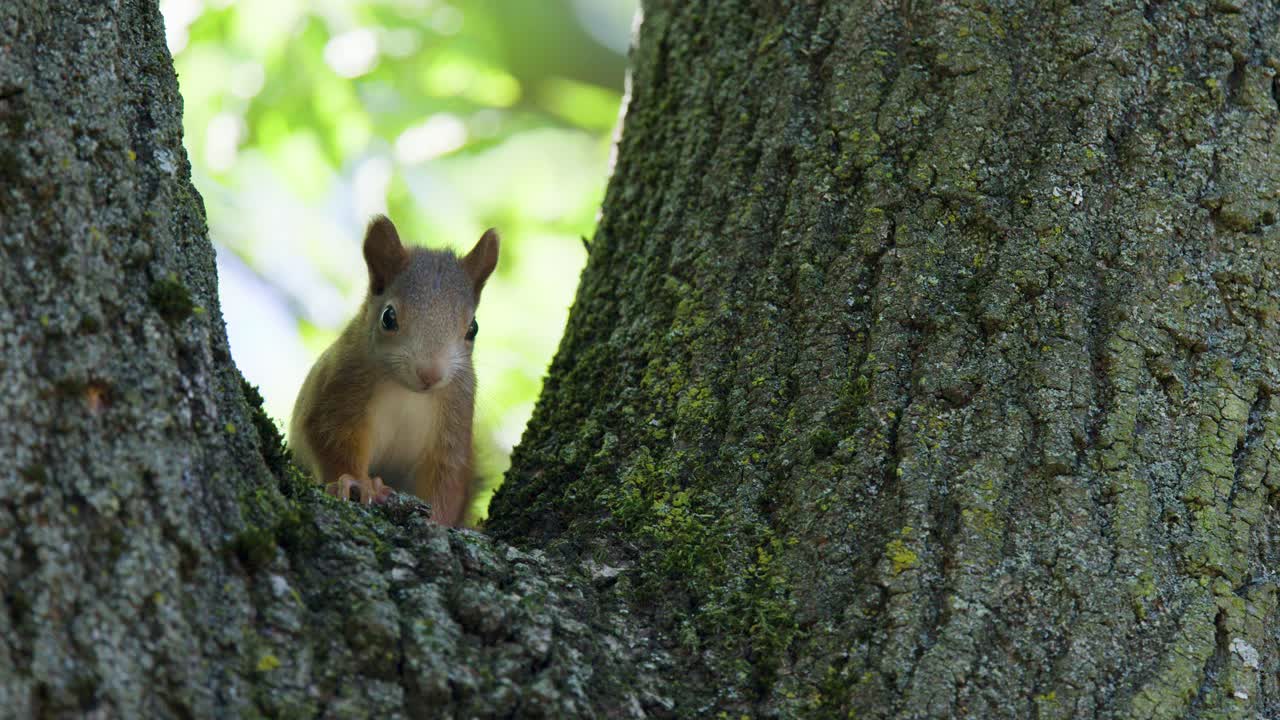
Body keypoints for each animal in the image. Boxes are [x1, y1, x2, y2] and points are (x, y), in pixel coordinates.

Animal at [288, 215, 499, 526]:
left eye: (473, 328)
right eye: (388, 317)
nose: (430, 374)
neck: (407, 392)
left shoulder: (454, 422)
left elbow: (447, 480)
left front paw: (438, 520)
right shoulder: (339, 388)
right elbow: (331, 440)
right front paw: (355, 482)